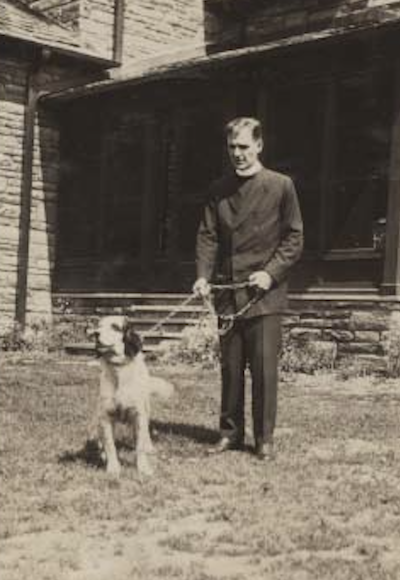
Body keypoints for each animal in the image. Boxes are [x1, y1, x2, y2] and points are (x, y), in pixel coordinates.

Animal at [88, 316, 174, 478]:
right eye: (99, 325)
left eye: (114, 327)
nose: (95, 333)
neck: (119, 371)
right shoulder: (106, 416)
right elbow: (110, 445)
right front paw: (113, 468)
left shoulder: (138, 415)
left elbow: (139, 445)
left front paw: (143, 468)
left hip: (146, 408)